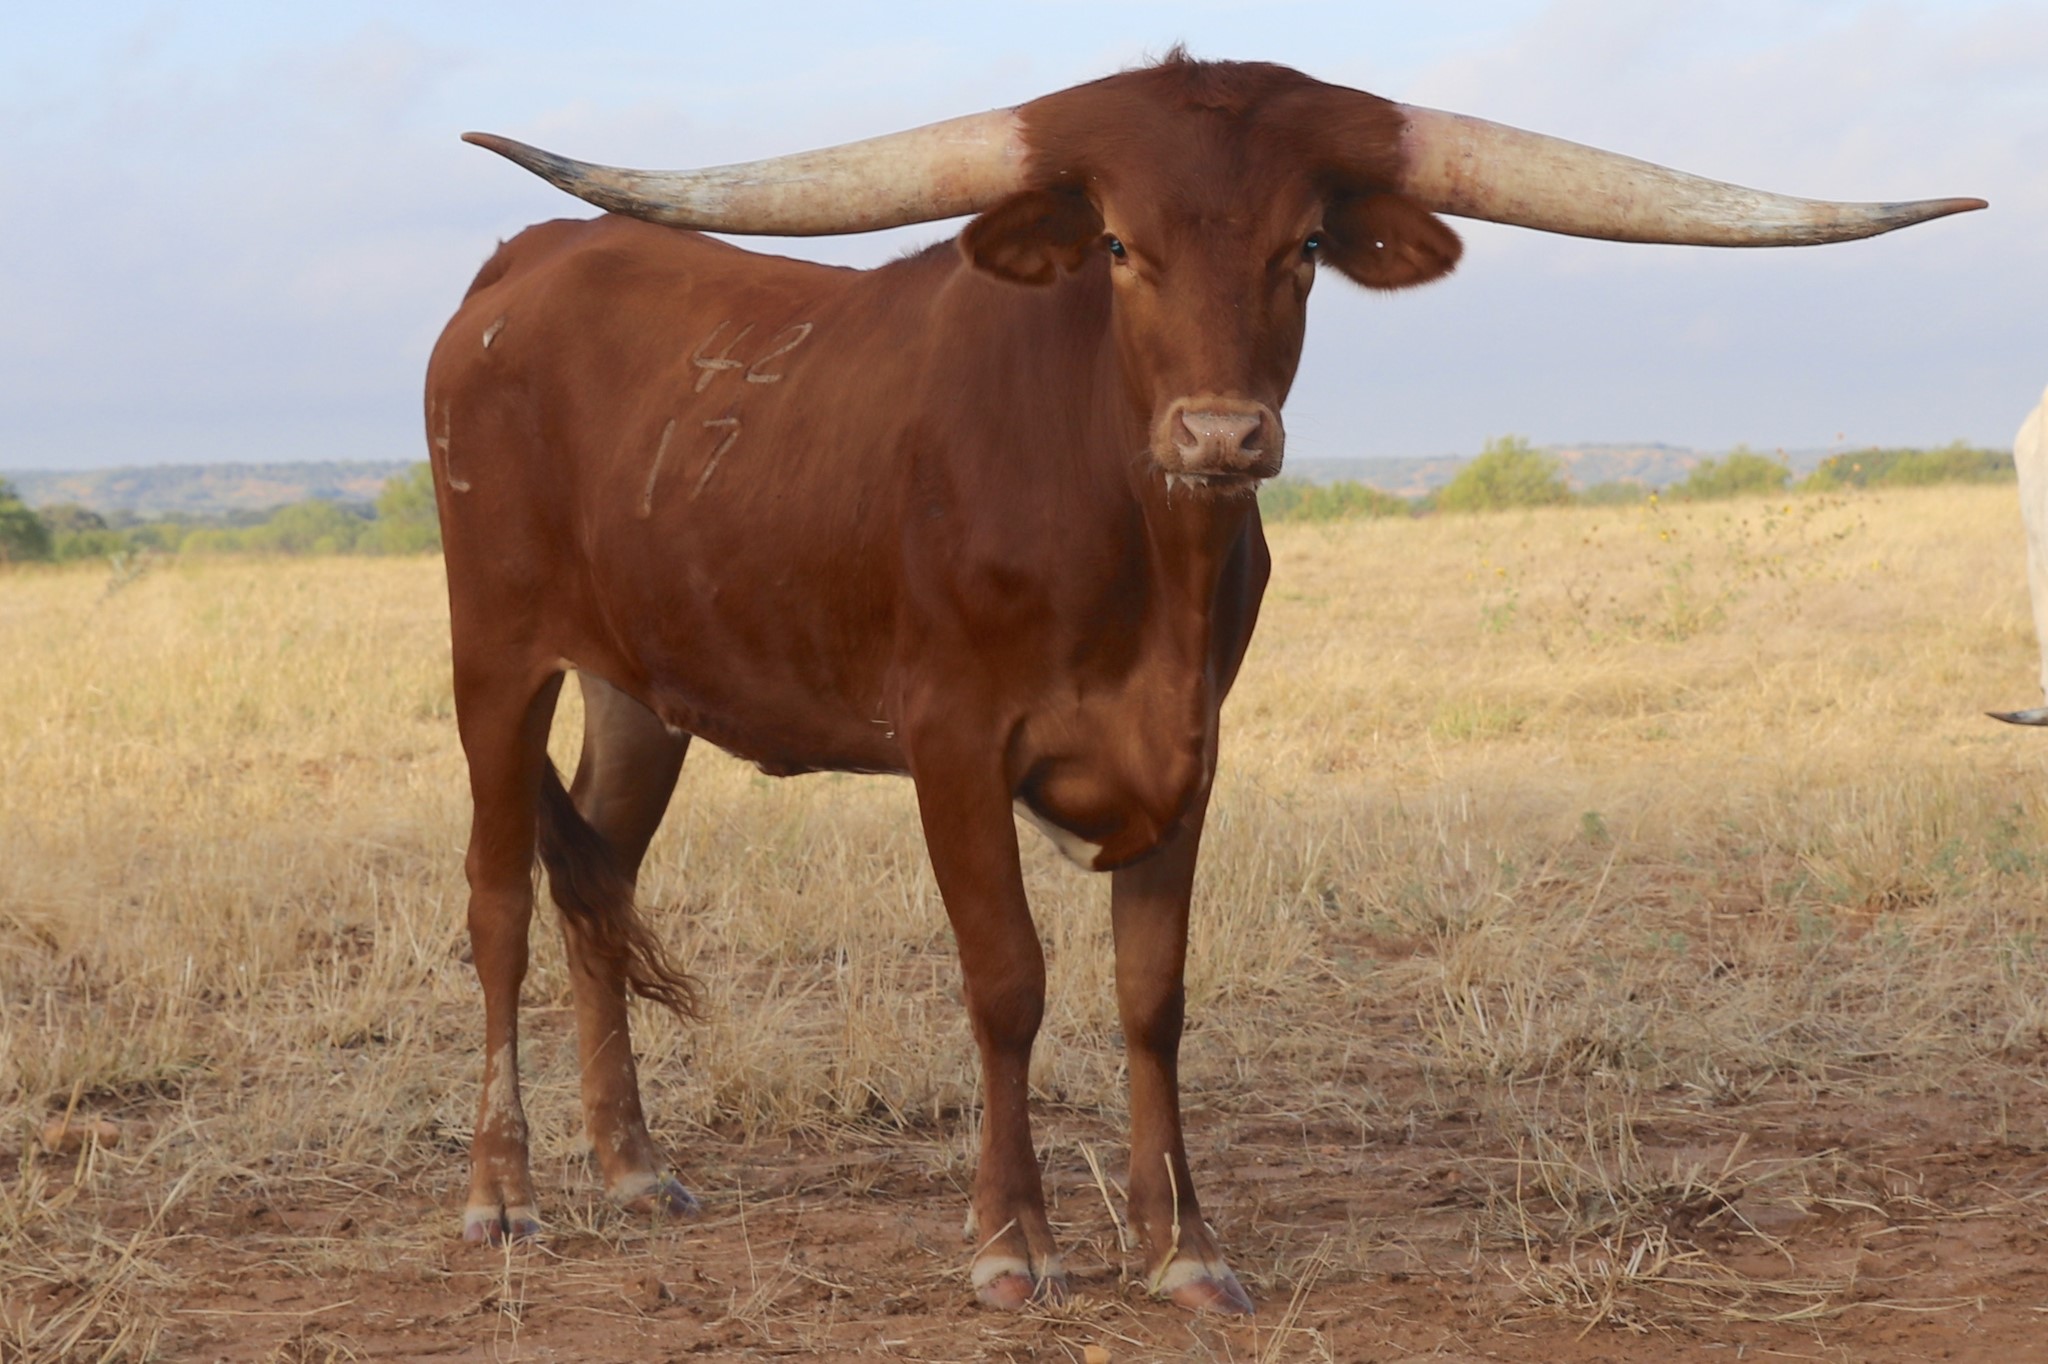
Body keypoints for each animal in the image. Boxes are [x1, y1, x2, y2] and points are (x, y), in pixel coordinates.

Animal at [428, 53, 1981, 1314]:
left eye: (1305, 244)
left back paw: (634, 1167)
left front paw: (1182, 1247)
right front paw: (1012, 1243)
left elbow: (1151, 994)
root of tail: (522, 261)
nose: (1221, 434)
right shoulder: (950, 741)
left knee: (597, 884)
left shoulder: (1191, 749)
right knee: (500, 903)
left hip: (640, 691)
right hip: (494, 655)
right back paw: (503, 1194)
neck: (1136, 551)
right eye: (1120, 243)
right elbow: (1008, 980)